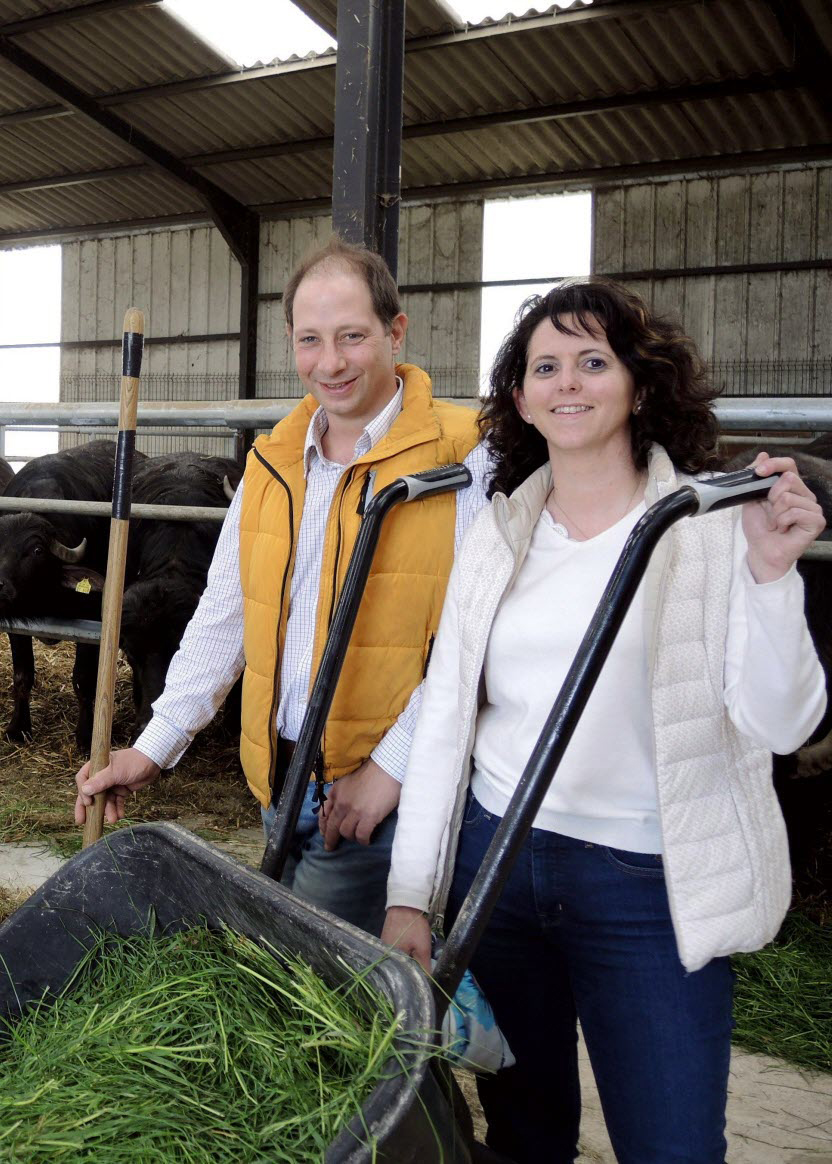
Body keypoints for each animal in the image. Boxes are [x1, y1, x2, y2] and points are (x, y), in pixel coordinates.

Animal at [0, 439, 146, 749]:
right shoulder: (15, 623)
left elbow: (84, 680)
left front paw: (86, 734)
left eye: (36, 550)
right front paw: (18, 727)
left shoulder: (93, 621)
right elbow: (22, 675)